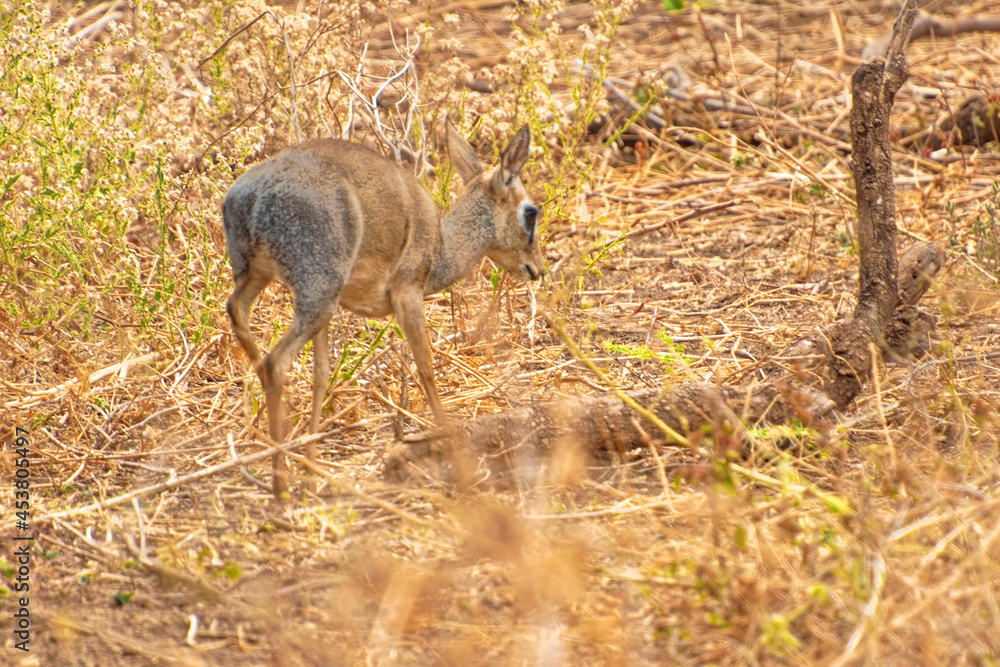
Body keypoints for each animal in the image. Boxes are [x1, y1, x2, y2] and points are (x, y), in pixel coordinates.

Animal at [223, 122, 544, 496]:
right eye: (531, 211)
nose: (537, 268)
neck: (440, 249)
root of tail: (259, 193)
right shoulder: (408, 293)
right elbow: (426, 367)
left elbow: (321, 375)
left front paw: (314, 467)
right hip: (317, 293)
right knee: (275, 363)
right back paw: (280, 487)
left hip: (269, 280)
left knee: (237, 314)